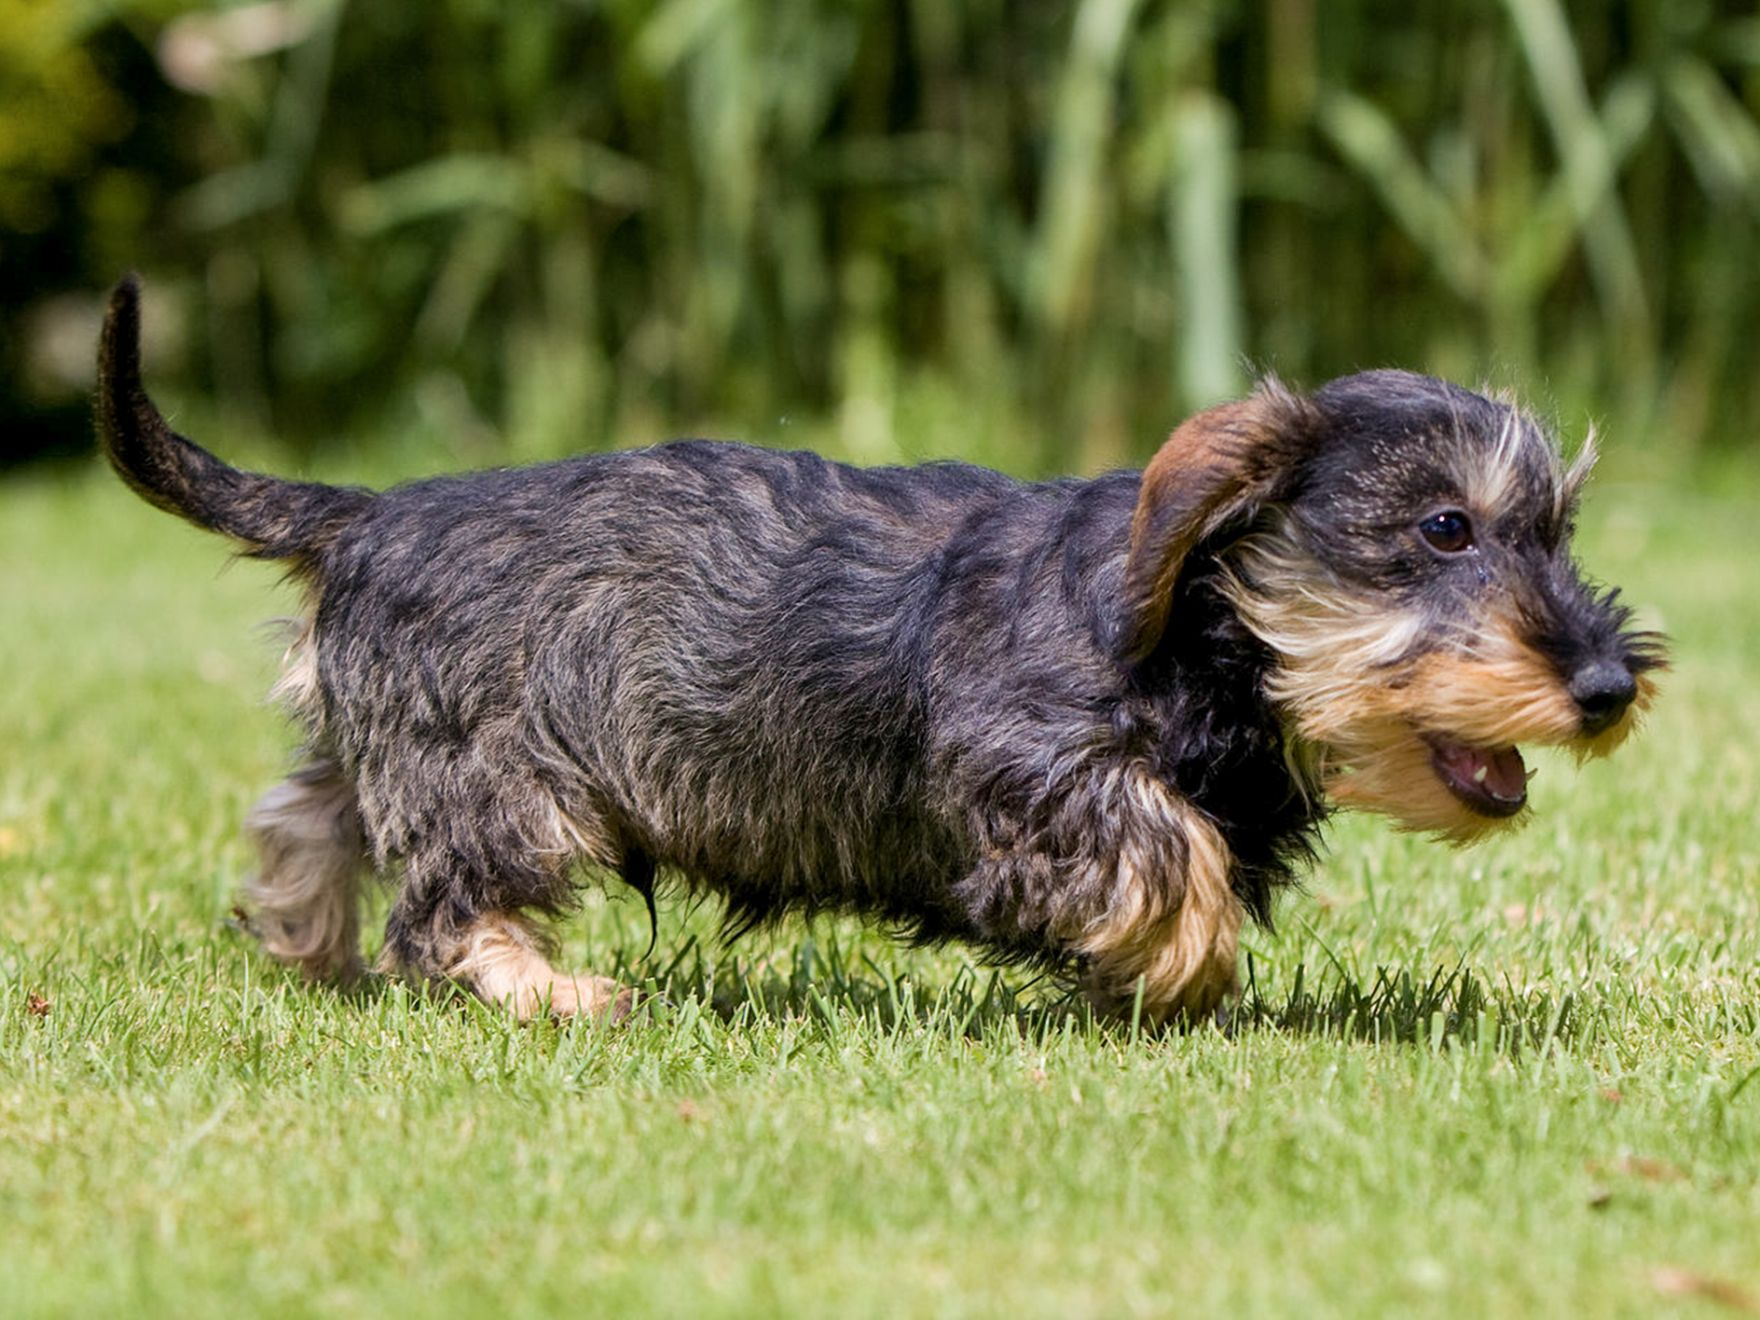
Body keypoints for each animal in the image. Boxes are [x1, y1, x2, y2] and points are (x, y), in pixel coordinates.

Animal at [96, 276, 1661, 1020]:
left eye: (1556, 531)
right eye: (1446, 528)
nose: (1605, 686)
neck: (1200, 635)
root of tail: (367, 512)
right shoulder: (1029, 767)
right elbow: (1168, 855)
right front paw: (1173, 968)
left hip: (391, 744)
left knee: (309, 819)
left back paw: (307, 950)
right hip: (504, 781)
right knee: (442, 914)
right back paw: (559, 994)